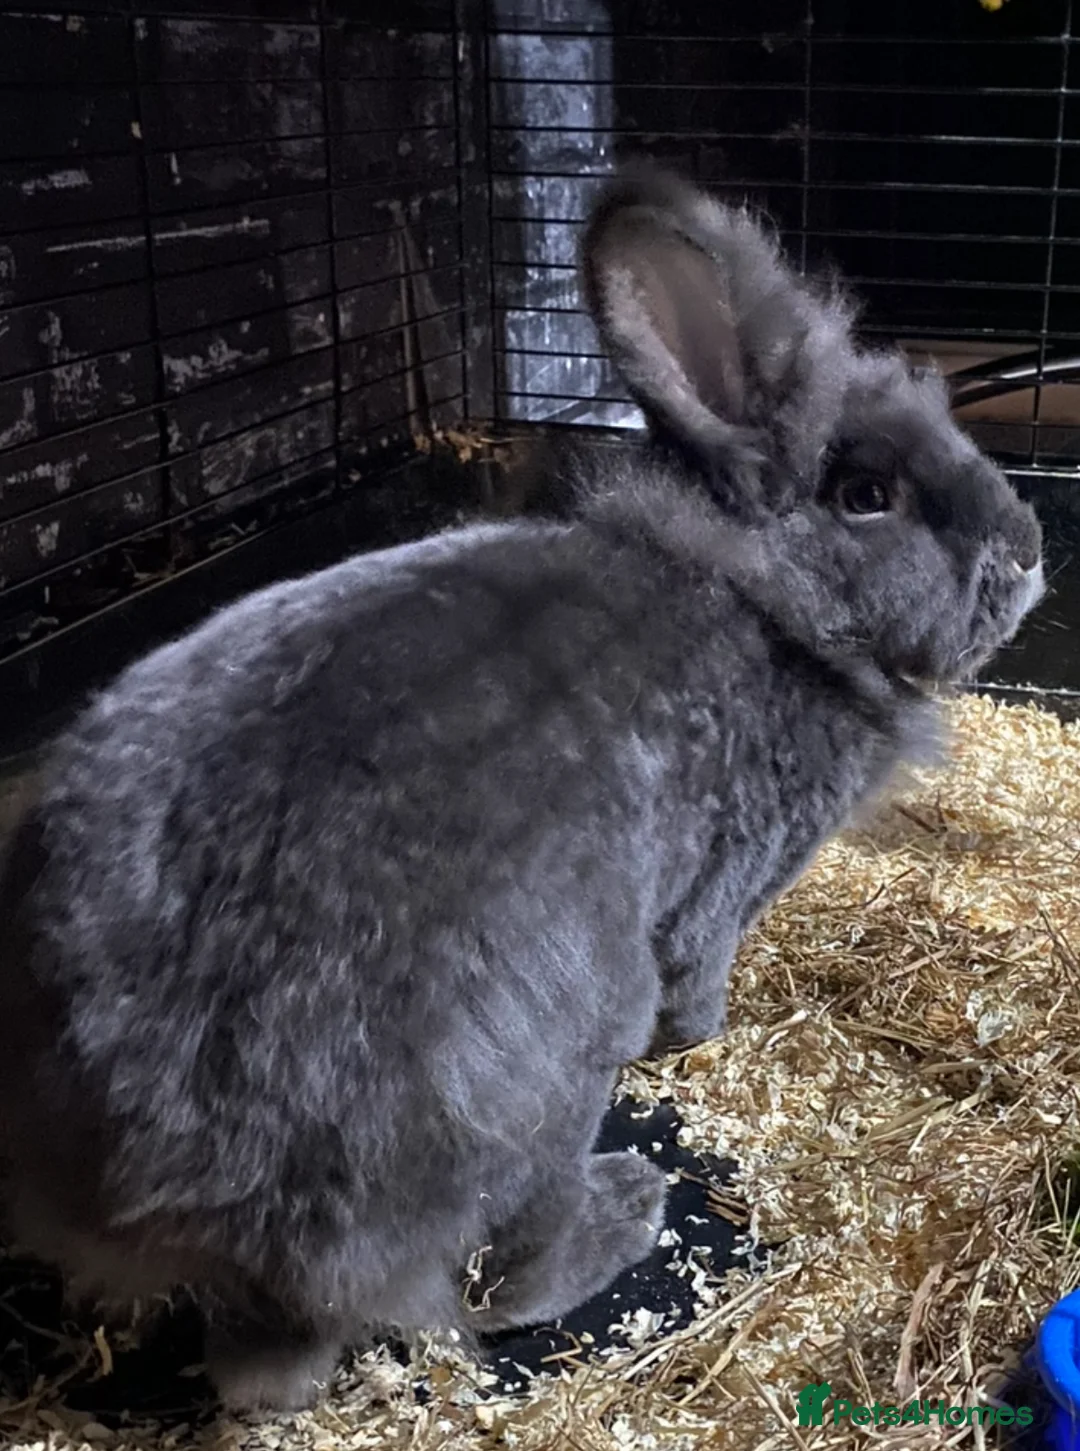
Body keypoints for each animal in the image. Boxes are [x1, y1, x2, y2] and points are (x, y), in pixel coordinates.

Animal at [0, 163, 1043, 1416]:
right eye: (867, 491)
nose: (1032, 545)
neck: (761, 594)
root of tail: (187, 1170)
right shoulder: (724, 888)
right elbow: (701, 974)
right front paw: (697, 1034)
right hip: (548, 1075)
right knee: (496, 1283)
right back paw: (625, 1207)